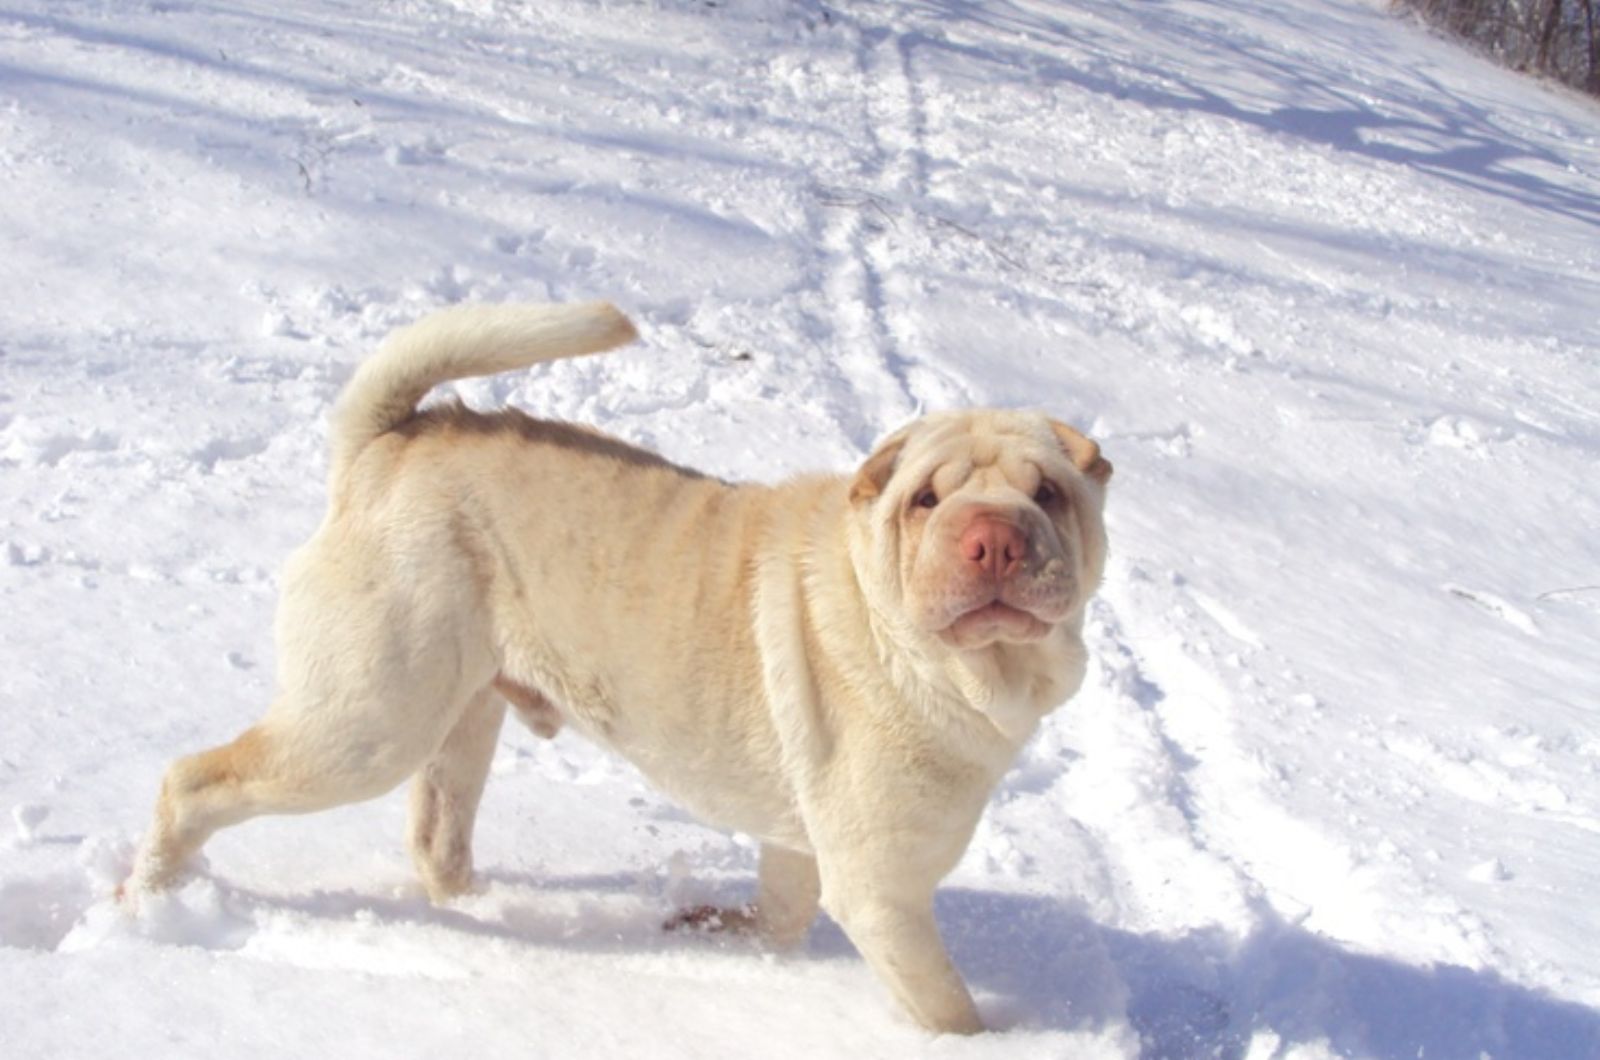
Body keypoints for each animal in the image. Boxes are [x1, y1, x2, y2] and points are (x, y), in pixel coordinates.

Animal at [128, 301, 1113, 1037]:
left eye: (1048, 493)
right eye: (925, 501)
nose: (993, 539)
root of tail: (390, 439)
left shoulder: (812, 845)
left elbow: (783, 910)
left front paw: (726, 937)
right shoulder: (884, 889)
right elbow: (947, 1009)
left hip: (459, 715)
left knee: (437, 835)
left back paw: (478, 918)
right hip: (365, 723)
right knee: (191, 782)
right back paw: (146, 903)